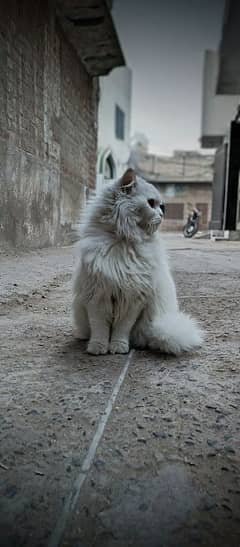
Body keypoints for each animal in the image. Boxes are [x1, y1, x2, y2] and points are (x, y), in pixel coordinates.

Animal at [72, 171, 203, 360]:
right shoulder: (97, 296)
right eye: (151, 203)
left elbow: (121, 329)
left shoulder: (133, 300)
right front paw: (97, 348)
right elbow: (100, 329)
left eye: (162, 207)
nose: (162, 214)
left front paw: (118, 347)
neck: (123, 241)